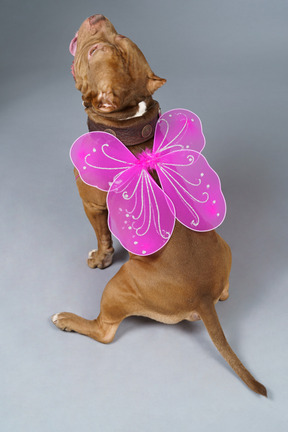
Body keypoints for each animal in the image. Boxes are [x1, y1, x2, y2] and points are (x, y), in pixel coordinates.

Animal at [51, 15, 266, 396]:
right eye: (117, 34)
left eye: (94, 51)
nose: (96, 17)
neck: (128, 122)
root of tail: (202, 298)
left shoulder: (91, 206)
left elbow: (102, 236)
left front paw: (100, 257)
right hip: (224, 247)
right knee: (227, 292)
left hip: (119, 286)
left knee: (104, 331)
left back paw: (68, 319)